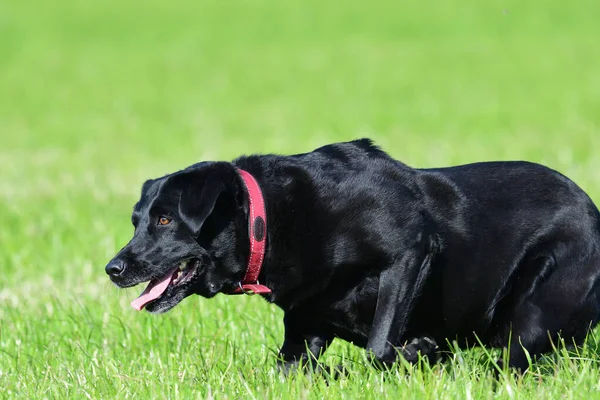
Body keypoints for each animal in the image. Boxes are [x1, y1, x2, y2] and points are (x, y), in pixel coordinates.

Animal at [105, 140, 600, 372]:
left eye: (165, 220)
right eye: (137, 220)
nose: (113, 268)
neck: (267, 220)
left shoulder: (411, 249)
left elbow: (379, 349)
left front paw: (415, 353)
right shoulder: (304, 321)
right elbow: (289, 367)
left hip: (534, 316)